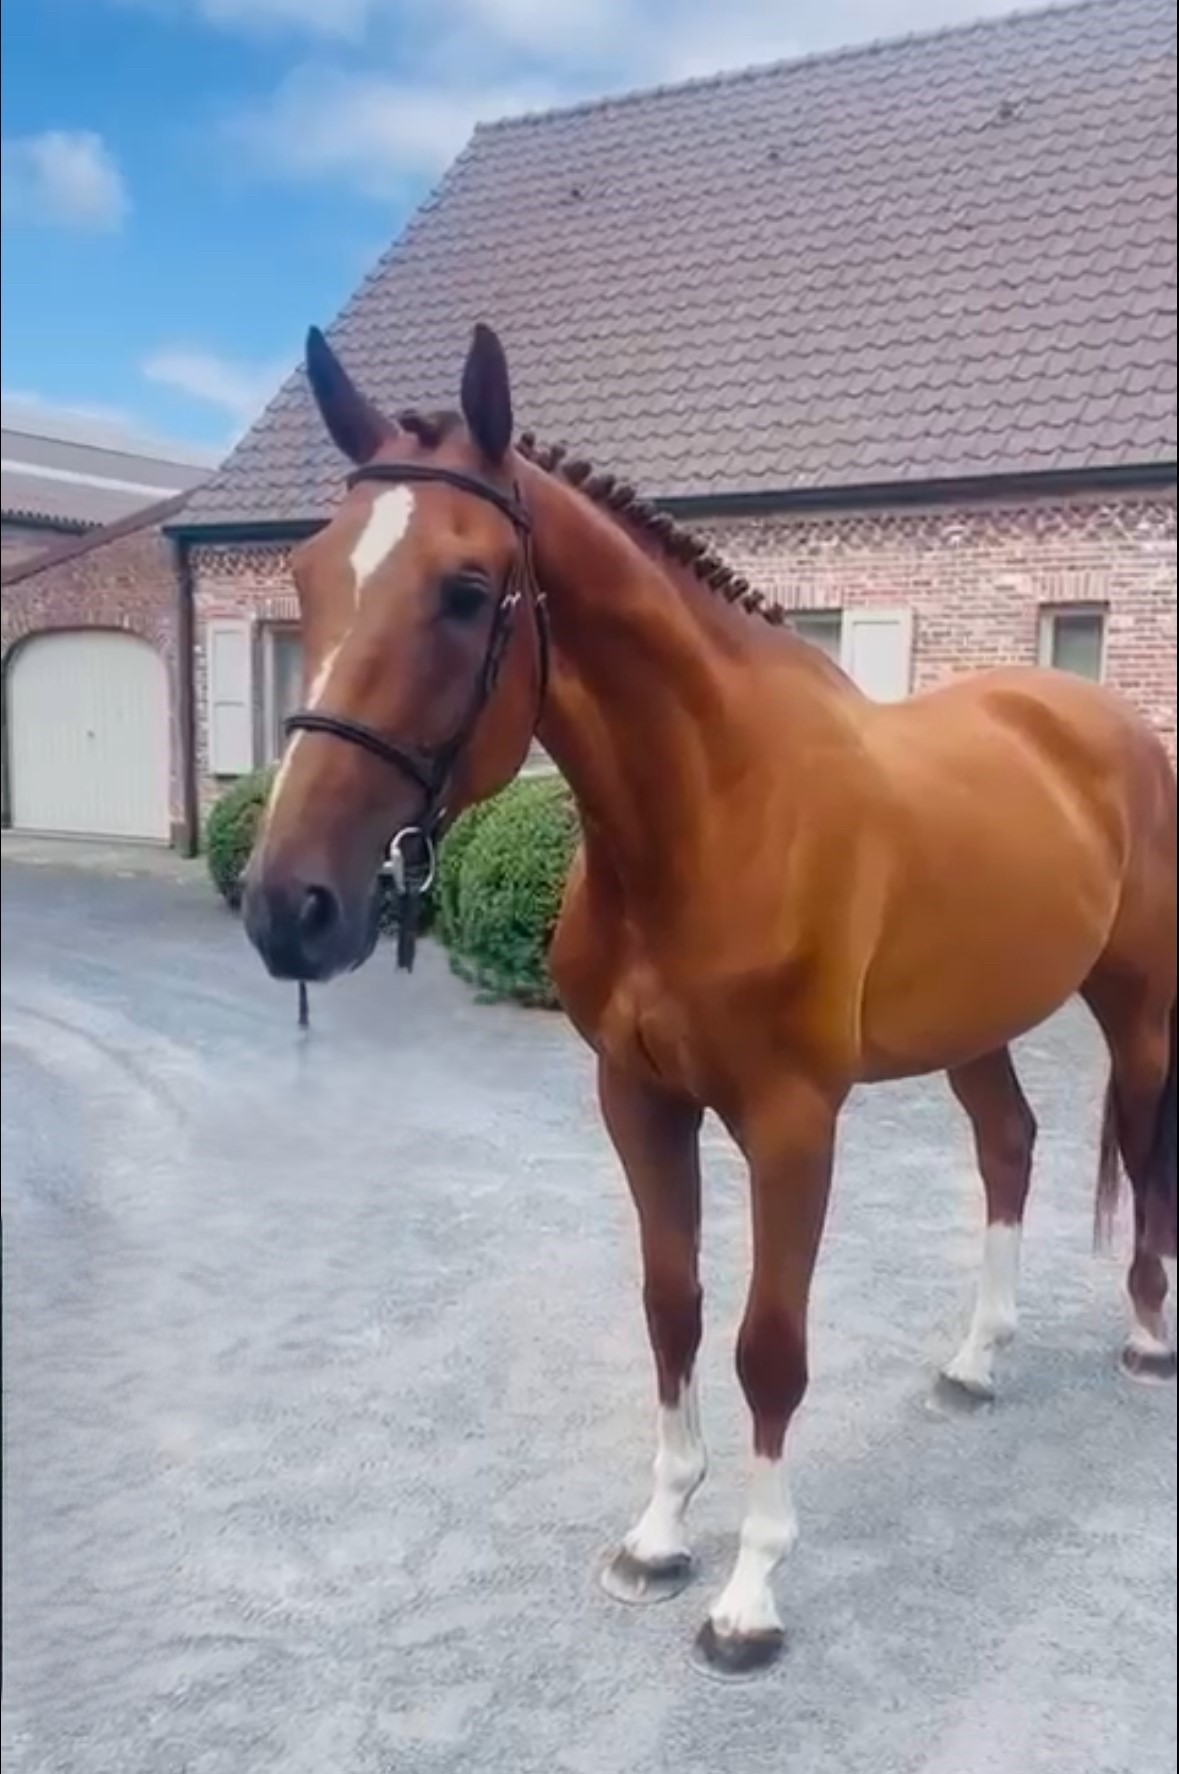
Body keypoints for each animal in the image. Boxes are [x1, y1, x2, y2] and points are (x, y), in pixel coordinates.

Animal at [242, 321, 1177, 1679]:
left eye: (465, 590)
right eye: (308, 578)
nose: (287, 904)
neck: (714, 816)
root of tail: (1105, 719)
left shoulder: (793, 1123)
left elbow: (767, 1346)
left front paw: (749, 1593)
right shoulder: (638, 1099)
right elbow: (671, 1307)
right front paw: (659, 1532)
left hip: (1139, 1002)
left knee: (1145, 1151)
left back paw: (1149, 1337)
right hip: (977, 1021)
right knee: (1010, 1144)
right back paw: (974, 1361)